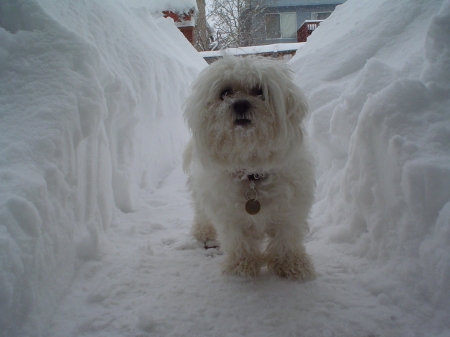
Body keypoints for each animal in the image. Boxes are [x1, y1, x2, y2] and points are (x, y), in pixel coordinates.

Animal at [183, 57, 316, 278]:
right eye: (225, 92)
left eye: (259, 91)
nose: (240, 104)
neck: (252, 172)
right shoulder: (230, 217)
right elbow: (239, 241)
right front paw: (242, 266)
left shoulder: (289, 212)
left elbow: (286, 239)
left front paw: (291, 264)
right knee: (201, 213)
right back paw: (204, 232)